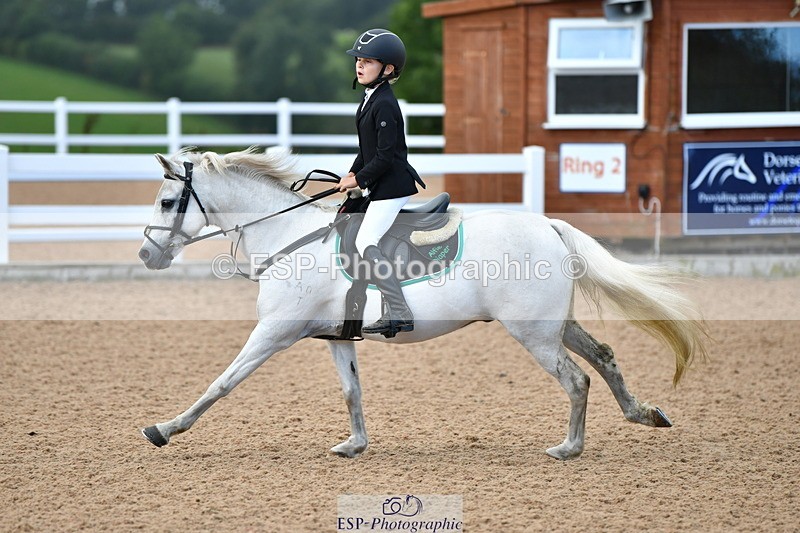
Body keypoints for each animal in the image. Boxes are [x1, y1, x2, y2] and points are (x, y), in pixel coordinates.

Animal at [137, 147, 708, 460]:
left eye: (167, 202)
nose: (146, 254)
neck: (290, 238)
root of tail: (548, 224)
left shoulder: (273, 333)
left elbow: (221, 383)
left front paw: (165, 429)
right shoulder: (335, 337)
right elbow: (352, 392)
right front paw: (355, 445)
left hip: (533, 332)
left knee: (576, 379)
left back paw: (569, 448)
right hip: (554, 325)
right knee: (605, 357)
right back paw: (644, 414)